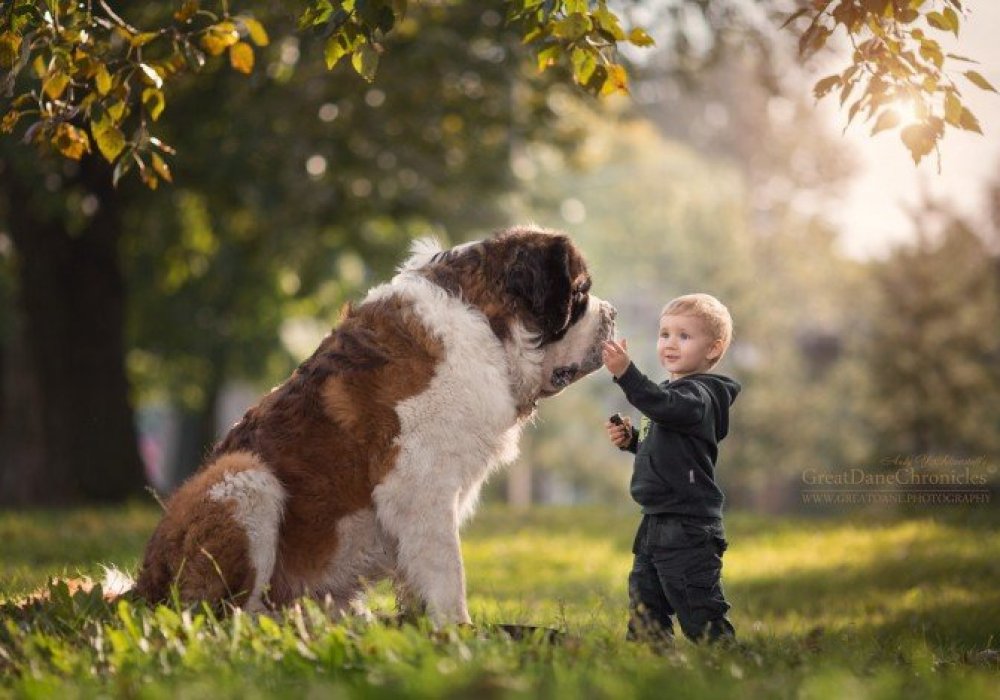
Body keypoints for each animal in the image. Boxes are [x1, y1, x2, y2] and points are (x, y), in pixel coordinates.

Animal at [133, 227, 616, 628]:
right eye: (581, 293)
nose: (612, 313)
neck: (486, 323)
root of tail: (140, 587)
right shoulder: (420, 486)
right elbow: (447, 569)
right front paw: (460, 635)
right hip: (243, 478)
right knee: (222, 615)